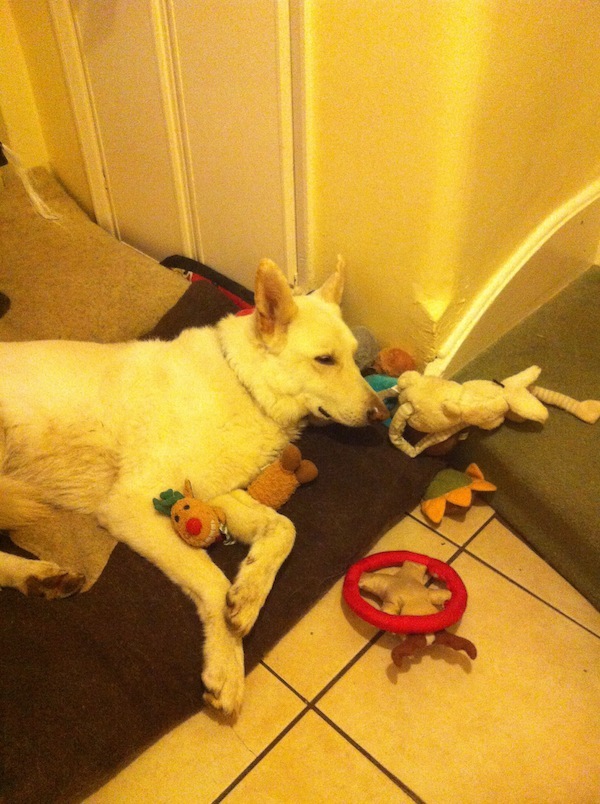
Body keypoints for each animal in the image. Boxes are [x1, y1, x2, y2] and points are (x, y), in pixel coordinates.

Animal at [0, 258, 387, 715]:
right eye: (325, 360)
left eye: (353, 357)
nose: (381, 413)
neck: (245, 386)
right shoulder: (133, 505)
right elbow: (213, 582)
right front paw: (227, 662)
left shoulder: (213, 493)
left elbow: (284, 529)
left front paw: (250, 593)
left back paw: (39, 577)